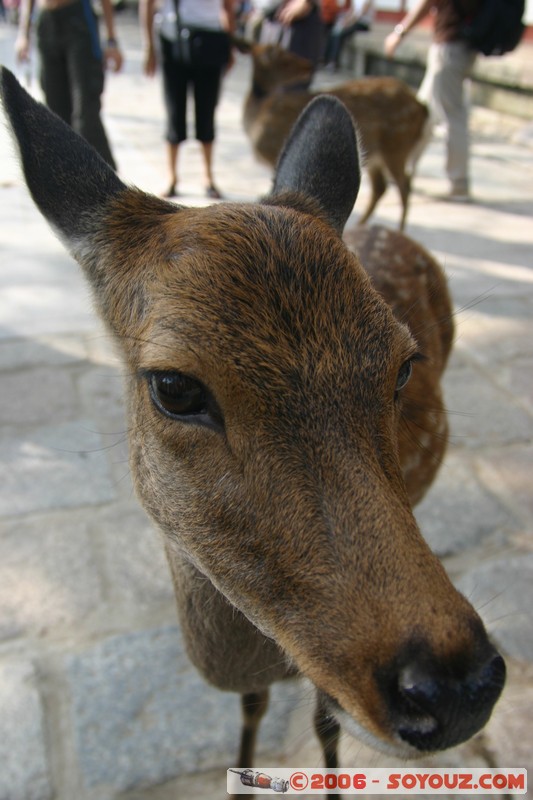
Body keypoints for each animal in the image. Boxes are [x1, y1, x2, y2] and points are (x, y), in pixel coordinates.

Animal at [2, 69, 502, 792]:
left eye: (404, 364)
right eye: (174, 386)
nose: (457, 688)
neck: (245, 655)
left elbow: (323, 724)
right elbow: (251, 709)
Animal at [237, 41, 428, 230]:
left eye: (287, 54)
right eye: (285, 60)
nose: (310, 66)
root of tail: (422, 106)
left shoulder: (272, 154)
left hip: (396, 149)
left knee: (403, 185)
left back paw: (396, 229)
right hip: (379, 157)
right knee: (382, 187)